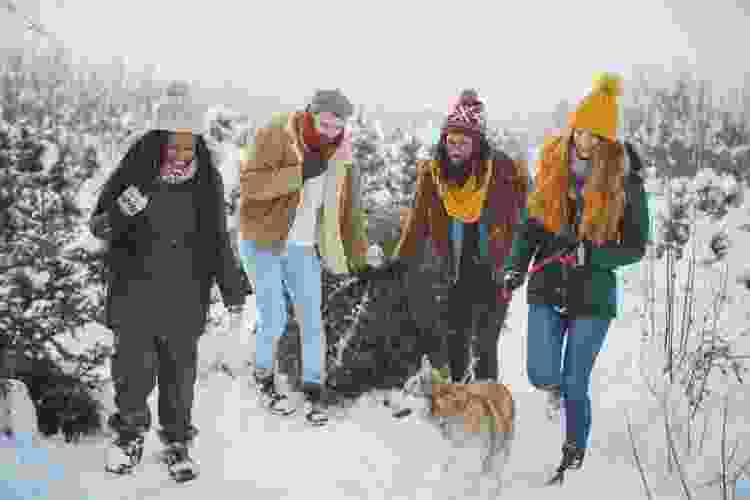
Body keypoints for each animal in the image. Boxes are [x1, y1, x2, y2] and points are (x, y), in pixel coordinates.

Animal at [388, 358, 516, 494]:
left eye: (406, 391)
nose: (386, 402)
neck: (449, 413)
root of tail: (494, 382)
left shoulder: (474, 467)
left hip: (502, 449)